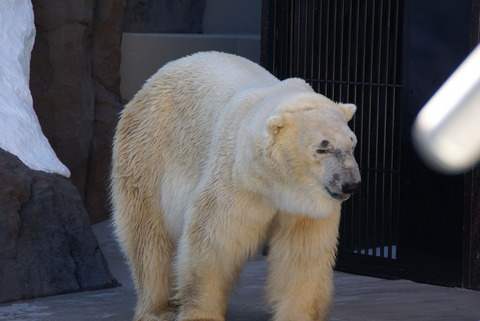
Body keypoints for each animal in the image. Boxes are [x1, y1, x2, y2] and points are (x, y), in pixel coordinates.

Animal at [111, 51, 360, 318]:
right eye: (322, 148)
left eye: (352, 143)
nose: (351, 184)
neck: (276, 183)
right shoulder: (239, 180)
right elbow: (214, 242)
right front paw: (201, 312)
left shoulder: (305, 206)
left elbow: (303, 253)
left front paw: (296, 314)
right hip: (149, 152)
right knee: (148, 236)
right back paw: (157, 310)